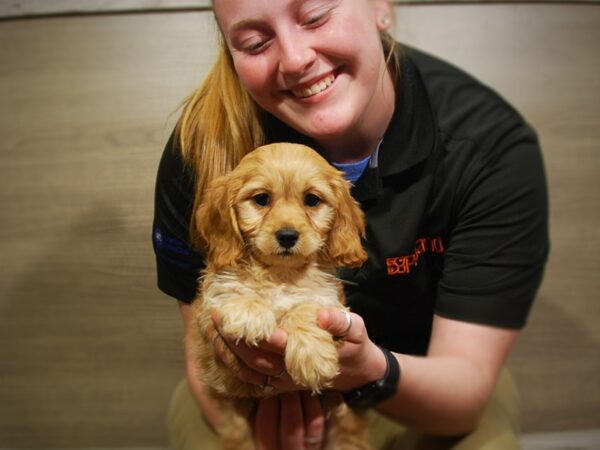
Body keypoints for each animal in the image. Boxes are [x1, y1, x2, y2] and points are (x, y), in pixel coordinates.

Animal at [191, 144, 370, 450]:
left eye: (312, 200)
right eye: (262, 199)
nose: (287, 236)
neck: (279, 275)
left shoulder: (330, 301)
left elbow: (307, 306)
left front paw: (312, 357)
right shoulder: (214, 349)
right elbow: (231, 288)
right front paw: (250, 311)